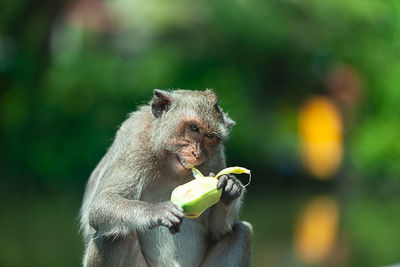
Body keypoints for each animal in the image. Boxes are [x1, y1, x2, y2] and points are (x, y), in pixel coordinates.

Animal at [79, 89, 252, 266]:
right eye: (194, 127)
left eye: (210, 136)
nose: (197, 154)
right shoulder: (134, 141)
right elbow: (102, 202)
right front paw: (155, 212)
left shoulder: (217, 157)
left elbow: (218, 231)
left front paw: (230, 186)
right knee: (114, 235)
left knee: (241, 232)